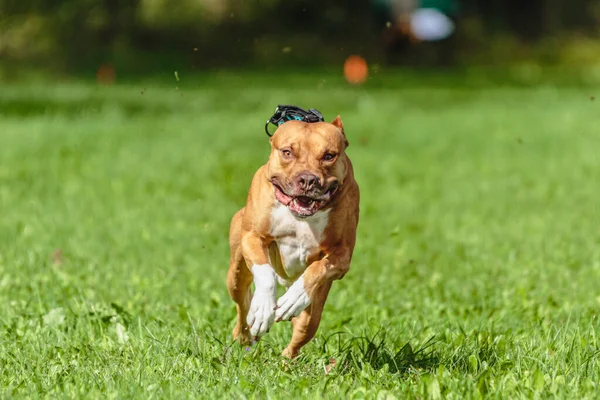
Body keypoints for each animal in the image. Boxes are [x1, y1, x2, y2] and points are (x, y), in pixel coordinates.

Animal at [225, 111, 356, 358]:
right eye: (287, 152)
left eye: (329, 156)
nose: (307, 179)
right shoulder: (253, 237)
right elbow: (264, 273)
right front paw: (263, 308)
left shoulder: (342, 257)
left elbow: (316, 269)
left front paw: (295, 298)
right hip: (236, 273)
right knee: (243, 304)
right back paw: (246, 334)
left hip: (314, 310)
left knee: (302, 331)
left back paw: (285, 359)